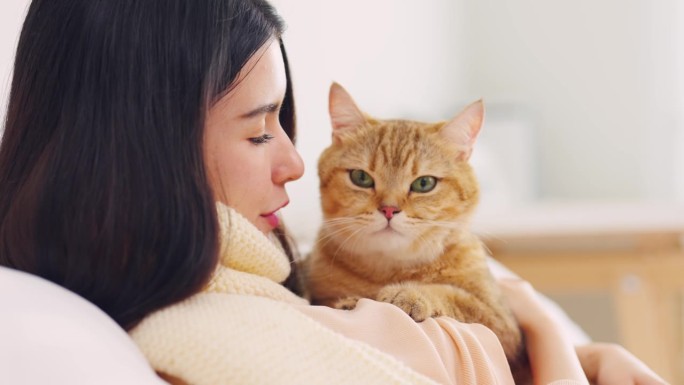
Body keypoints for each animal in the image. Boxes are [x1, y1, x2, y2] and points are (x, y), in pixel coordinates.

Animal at [302, 82, 528, 380]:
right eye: (361, 178)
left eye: (424, 183)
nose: (389, 209)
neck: (392, 269)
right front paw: (350, 301)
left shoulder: (503, 327)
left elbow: (454, 296)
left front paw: (409, 294)